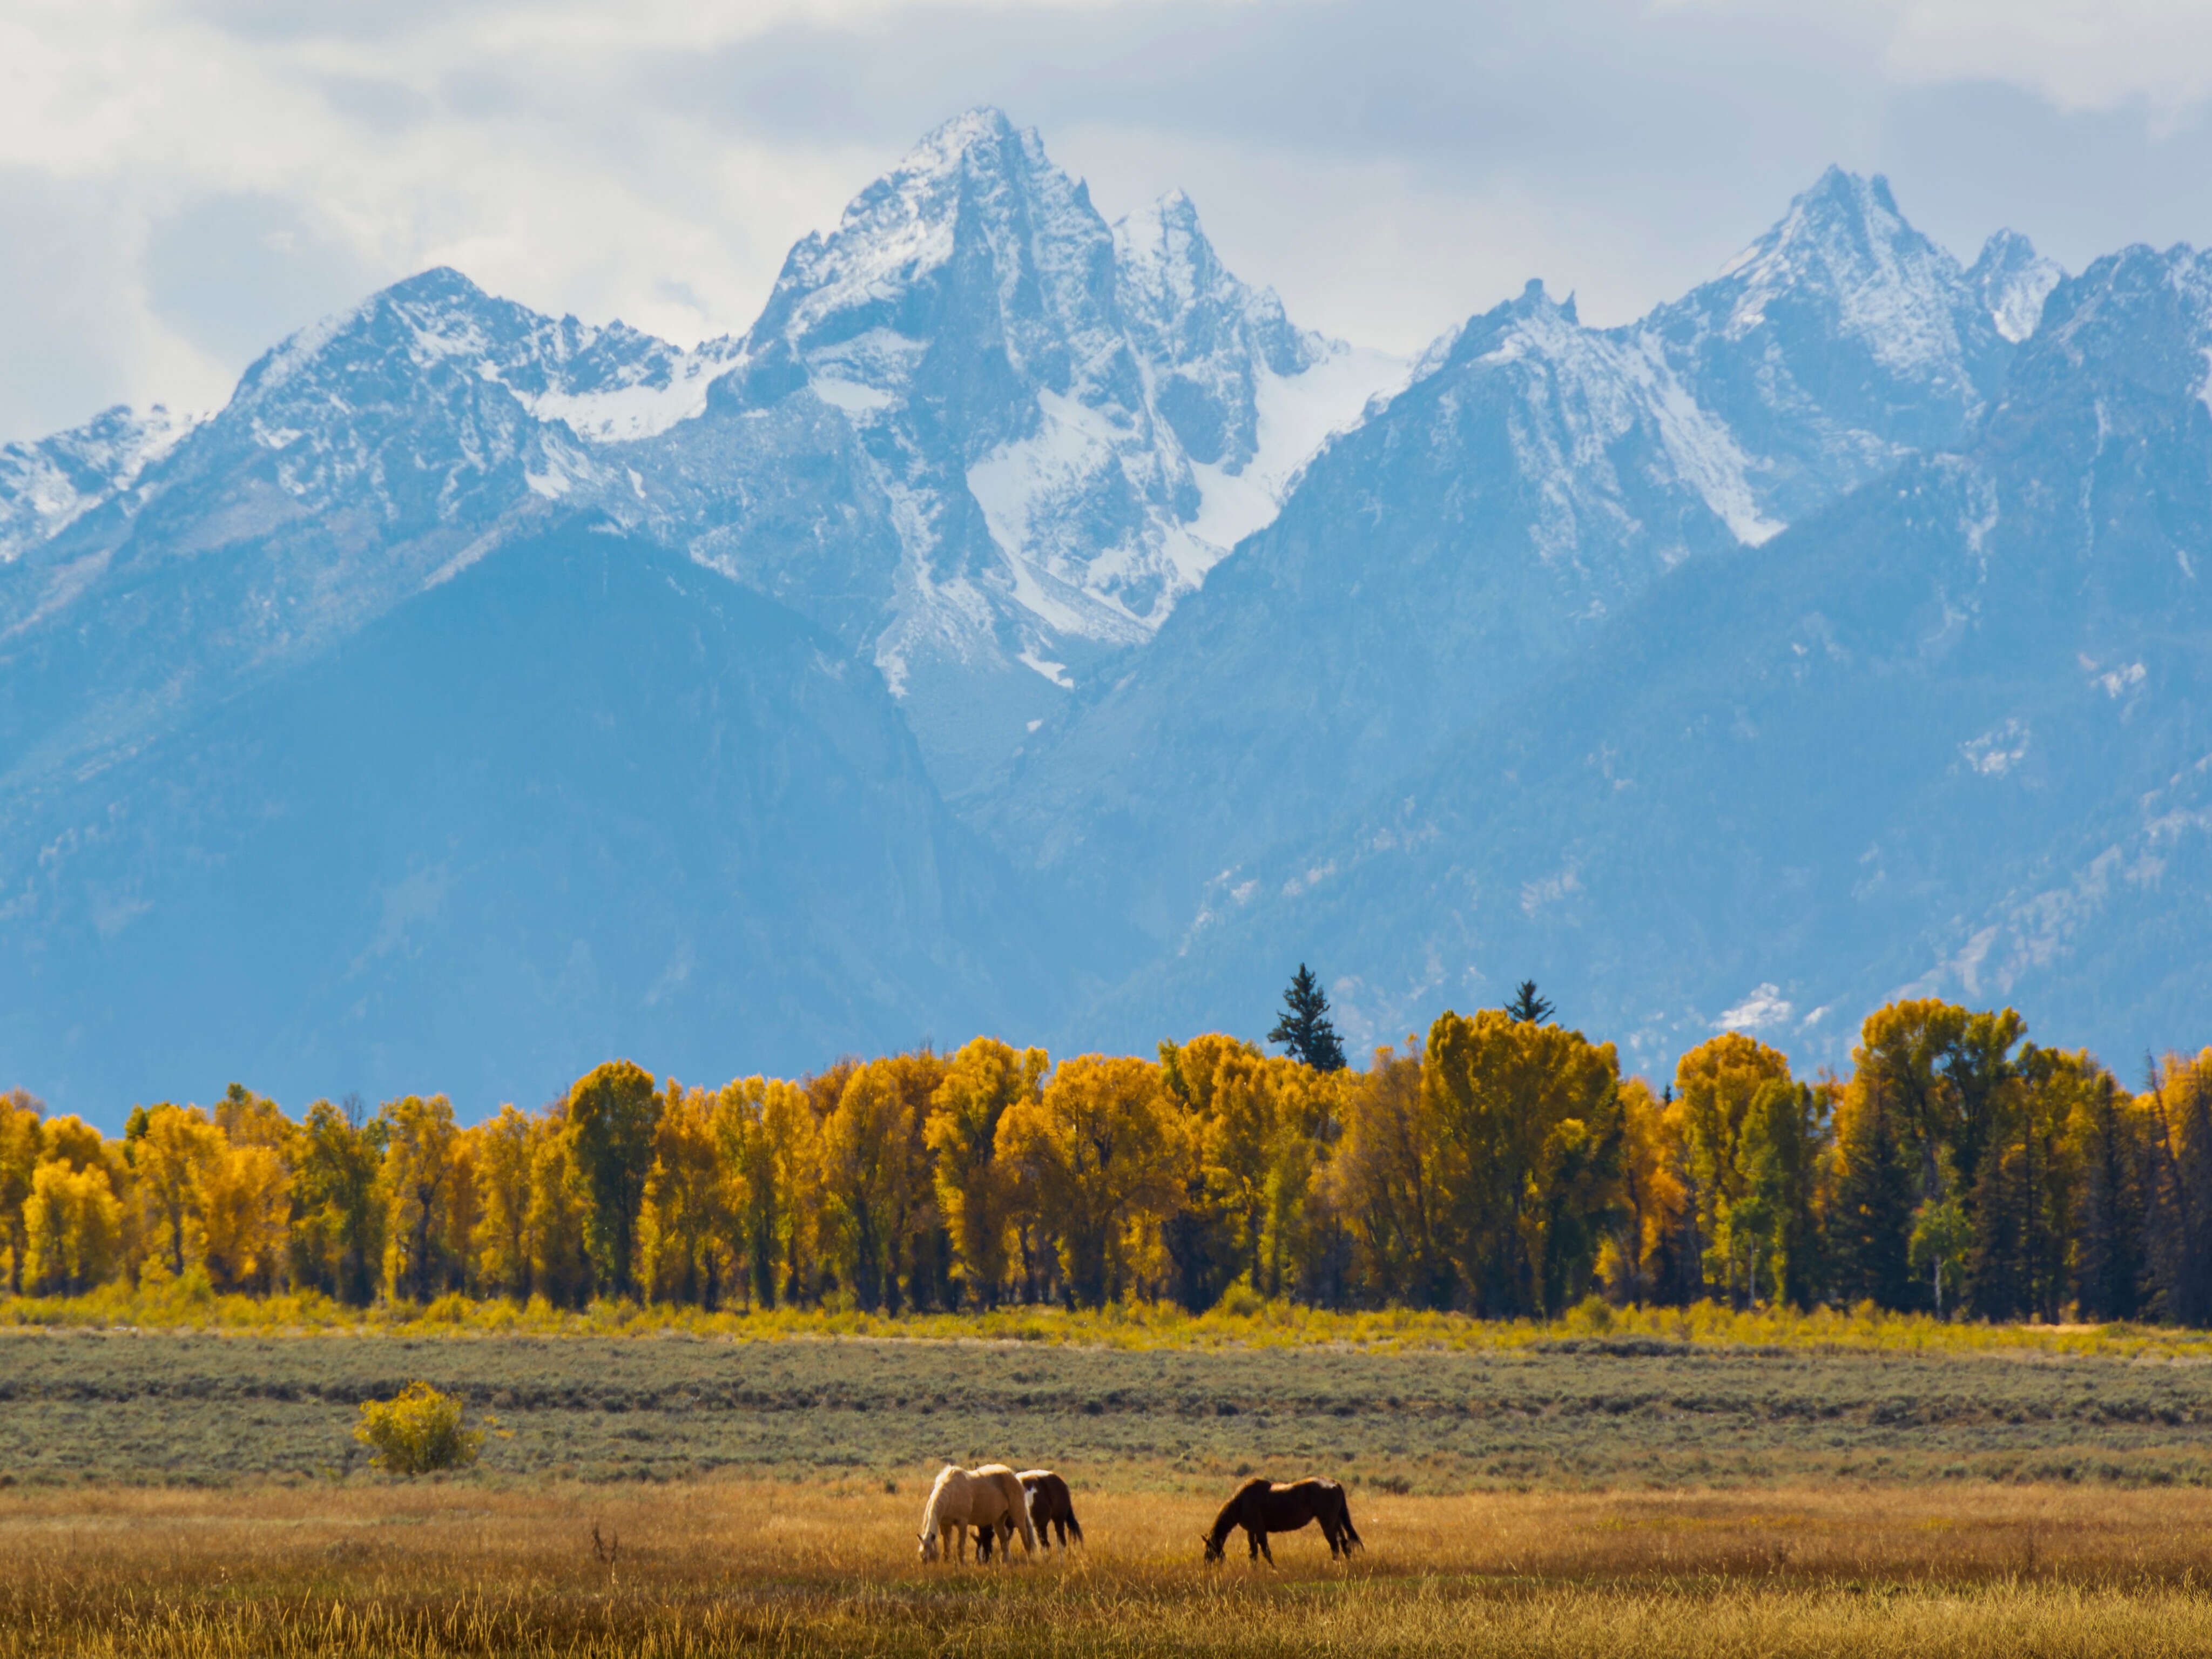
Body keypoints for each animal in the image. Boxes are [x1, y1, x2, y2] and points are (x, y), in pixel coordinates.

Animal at [911, 1468, 1030, 1575]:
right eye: (921, 1553)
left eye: (929, 1553)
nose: (925, 1567)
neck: (952, 1493)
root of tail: (1014, 1476)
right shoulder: (946, 1524)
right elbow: (947, 1544)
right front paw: (947, 1561)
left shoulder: (962, 1523)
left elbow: (960, 1546)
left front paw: (962, 1564)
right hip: (999, 1521)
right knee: (1004, 1541)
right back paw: (1004, 1562)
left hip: (1018, 1516)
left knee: (1024, 1537)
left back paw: (1029, 1558)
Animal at [1203, 1486, 1353, 1566]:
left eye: (1209, 1548)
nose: (1206, 1564)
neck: (1240, 1503)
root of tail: (1336, 1485)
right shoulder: (1251, 1531)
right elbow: (1253, 1553)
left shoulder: (1259, 1529)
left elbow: (1265, 1551)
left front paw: (1274, 1569)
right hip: (1336, 1521)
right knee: (1344, 1542)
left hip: (1328, 1523)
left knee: (1335, 1545)